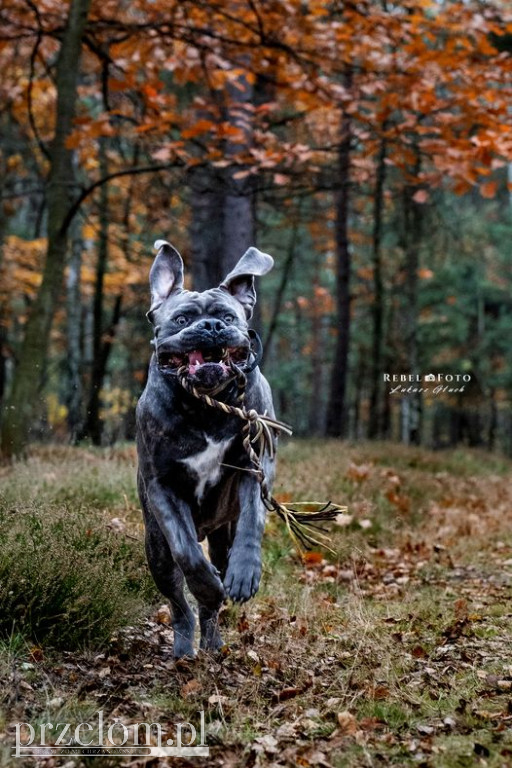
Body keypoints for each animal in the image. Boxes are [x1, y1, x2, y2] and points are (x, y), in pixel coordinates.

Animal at [136, 237, 276, 656]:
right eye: (182, 320)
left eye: (229, 318)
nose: (211, 326)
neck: (204, 406)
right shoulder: (162, 486)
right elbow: (187, 553)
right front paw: (208, 585)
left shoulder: (253, 467)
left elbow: (252, 520)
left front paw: (244, 575)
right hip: (155, 549)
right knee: (179, 602)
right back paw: (185, 645)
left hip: (220, 533)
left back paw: (213, 640)